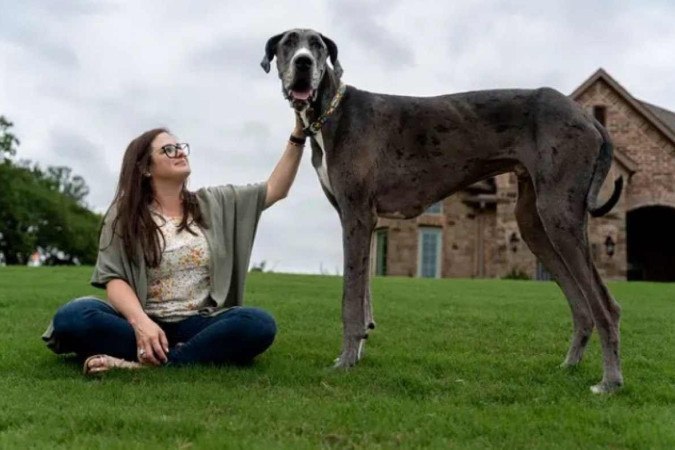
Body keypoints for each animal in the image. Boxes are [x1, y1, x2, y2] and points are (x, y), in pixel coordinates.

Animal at [262, 29, 624, 394]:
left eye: (318, 45)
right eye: (288, 43)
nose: (303, 63)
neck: (331, 113)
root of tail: (589, 118)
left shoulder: (357, 215)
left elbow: (350, 299)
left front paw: (346, 362)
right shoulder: (360, 221)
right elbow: (363, 295)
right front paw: (357, 352)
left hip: (559, 215)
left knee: (606, 305)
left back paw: (609, 382)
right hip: (534, 224)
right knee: (582, 306)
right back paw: (569, 366)